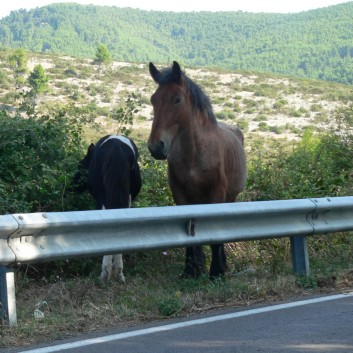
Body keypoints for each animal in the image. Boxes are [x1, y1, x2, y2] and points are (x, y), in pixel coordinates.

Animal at [72, 133, 141, 282]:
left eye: (81, 164)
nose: (72, 186)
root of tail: (116, 148)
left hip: (104, 197)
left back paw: (105, 273)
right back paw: (119, 273)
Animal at [147, 62, 246, 280]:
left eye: (177, 99)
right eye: (153, 99)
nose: (156, 147)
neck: (195, 153)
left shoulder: (216, 195)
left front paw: (216, 271)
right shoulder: (181, 196)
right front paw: (191, 269)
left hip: (230, 197)